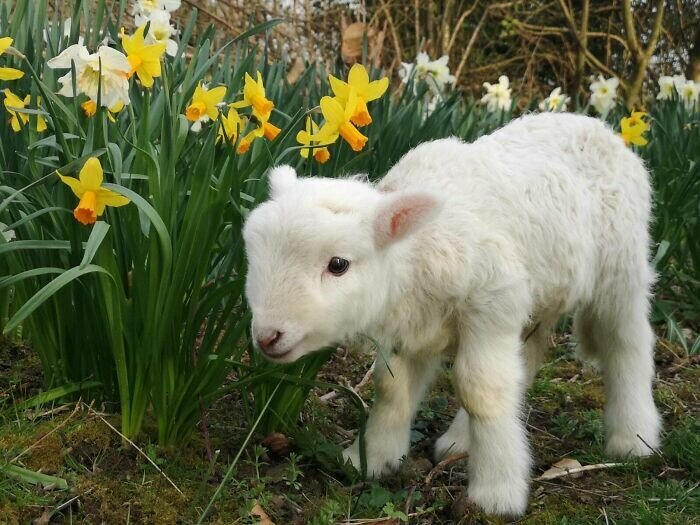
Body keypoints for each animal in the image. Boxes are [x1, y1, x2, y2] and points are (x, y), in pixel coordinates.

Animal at [242, 111, 660, 516]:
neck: (415, 249)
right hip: (540, 290)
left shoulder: (492, 302)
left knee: (626, 342)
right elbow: (391, 388)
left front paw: (498, 492)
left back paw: (634, 437)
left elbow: (482, 391)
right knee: (528, 354)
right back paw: (461, 440)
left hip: (620, 267)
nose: (268, 336)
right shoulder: (414, 322)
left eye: (338, 265)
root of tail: (598, 125)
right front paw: (371, 458)